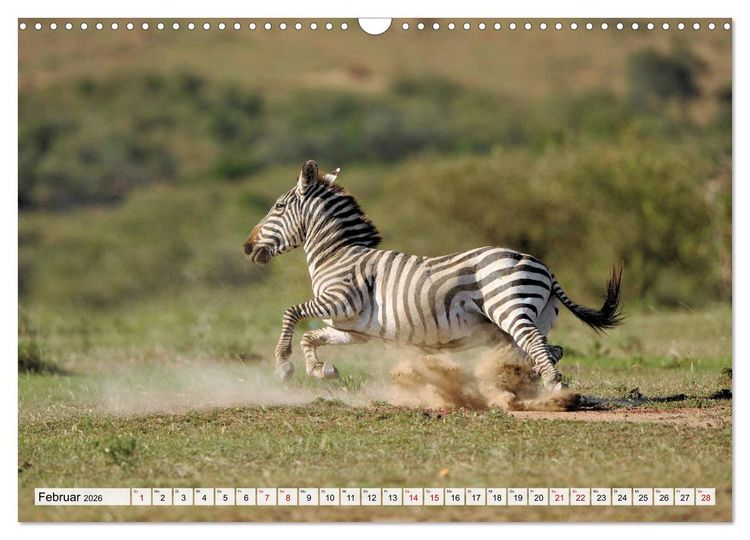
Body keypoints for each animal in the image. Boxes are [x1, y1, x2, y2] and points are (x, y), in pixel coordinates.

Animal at [243, 160, 623, 392]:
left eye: (278, 207)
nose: (247, 246)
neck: (339, 256)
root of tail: (543, 266)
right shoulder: (352, 329)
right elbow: (311, 338)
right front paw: (322, 370)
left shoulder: (341, 300)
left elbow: (291, 312)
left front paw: (283, 366)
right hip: (536, 317)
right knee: (547, 348)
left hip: (509, 308)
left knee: (537, 345)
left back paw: (555, 391)